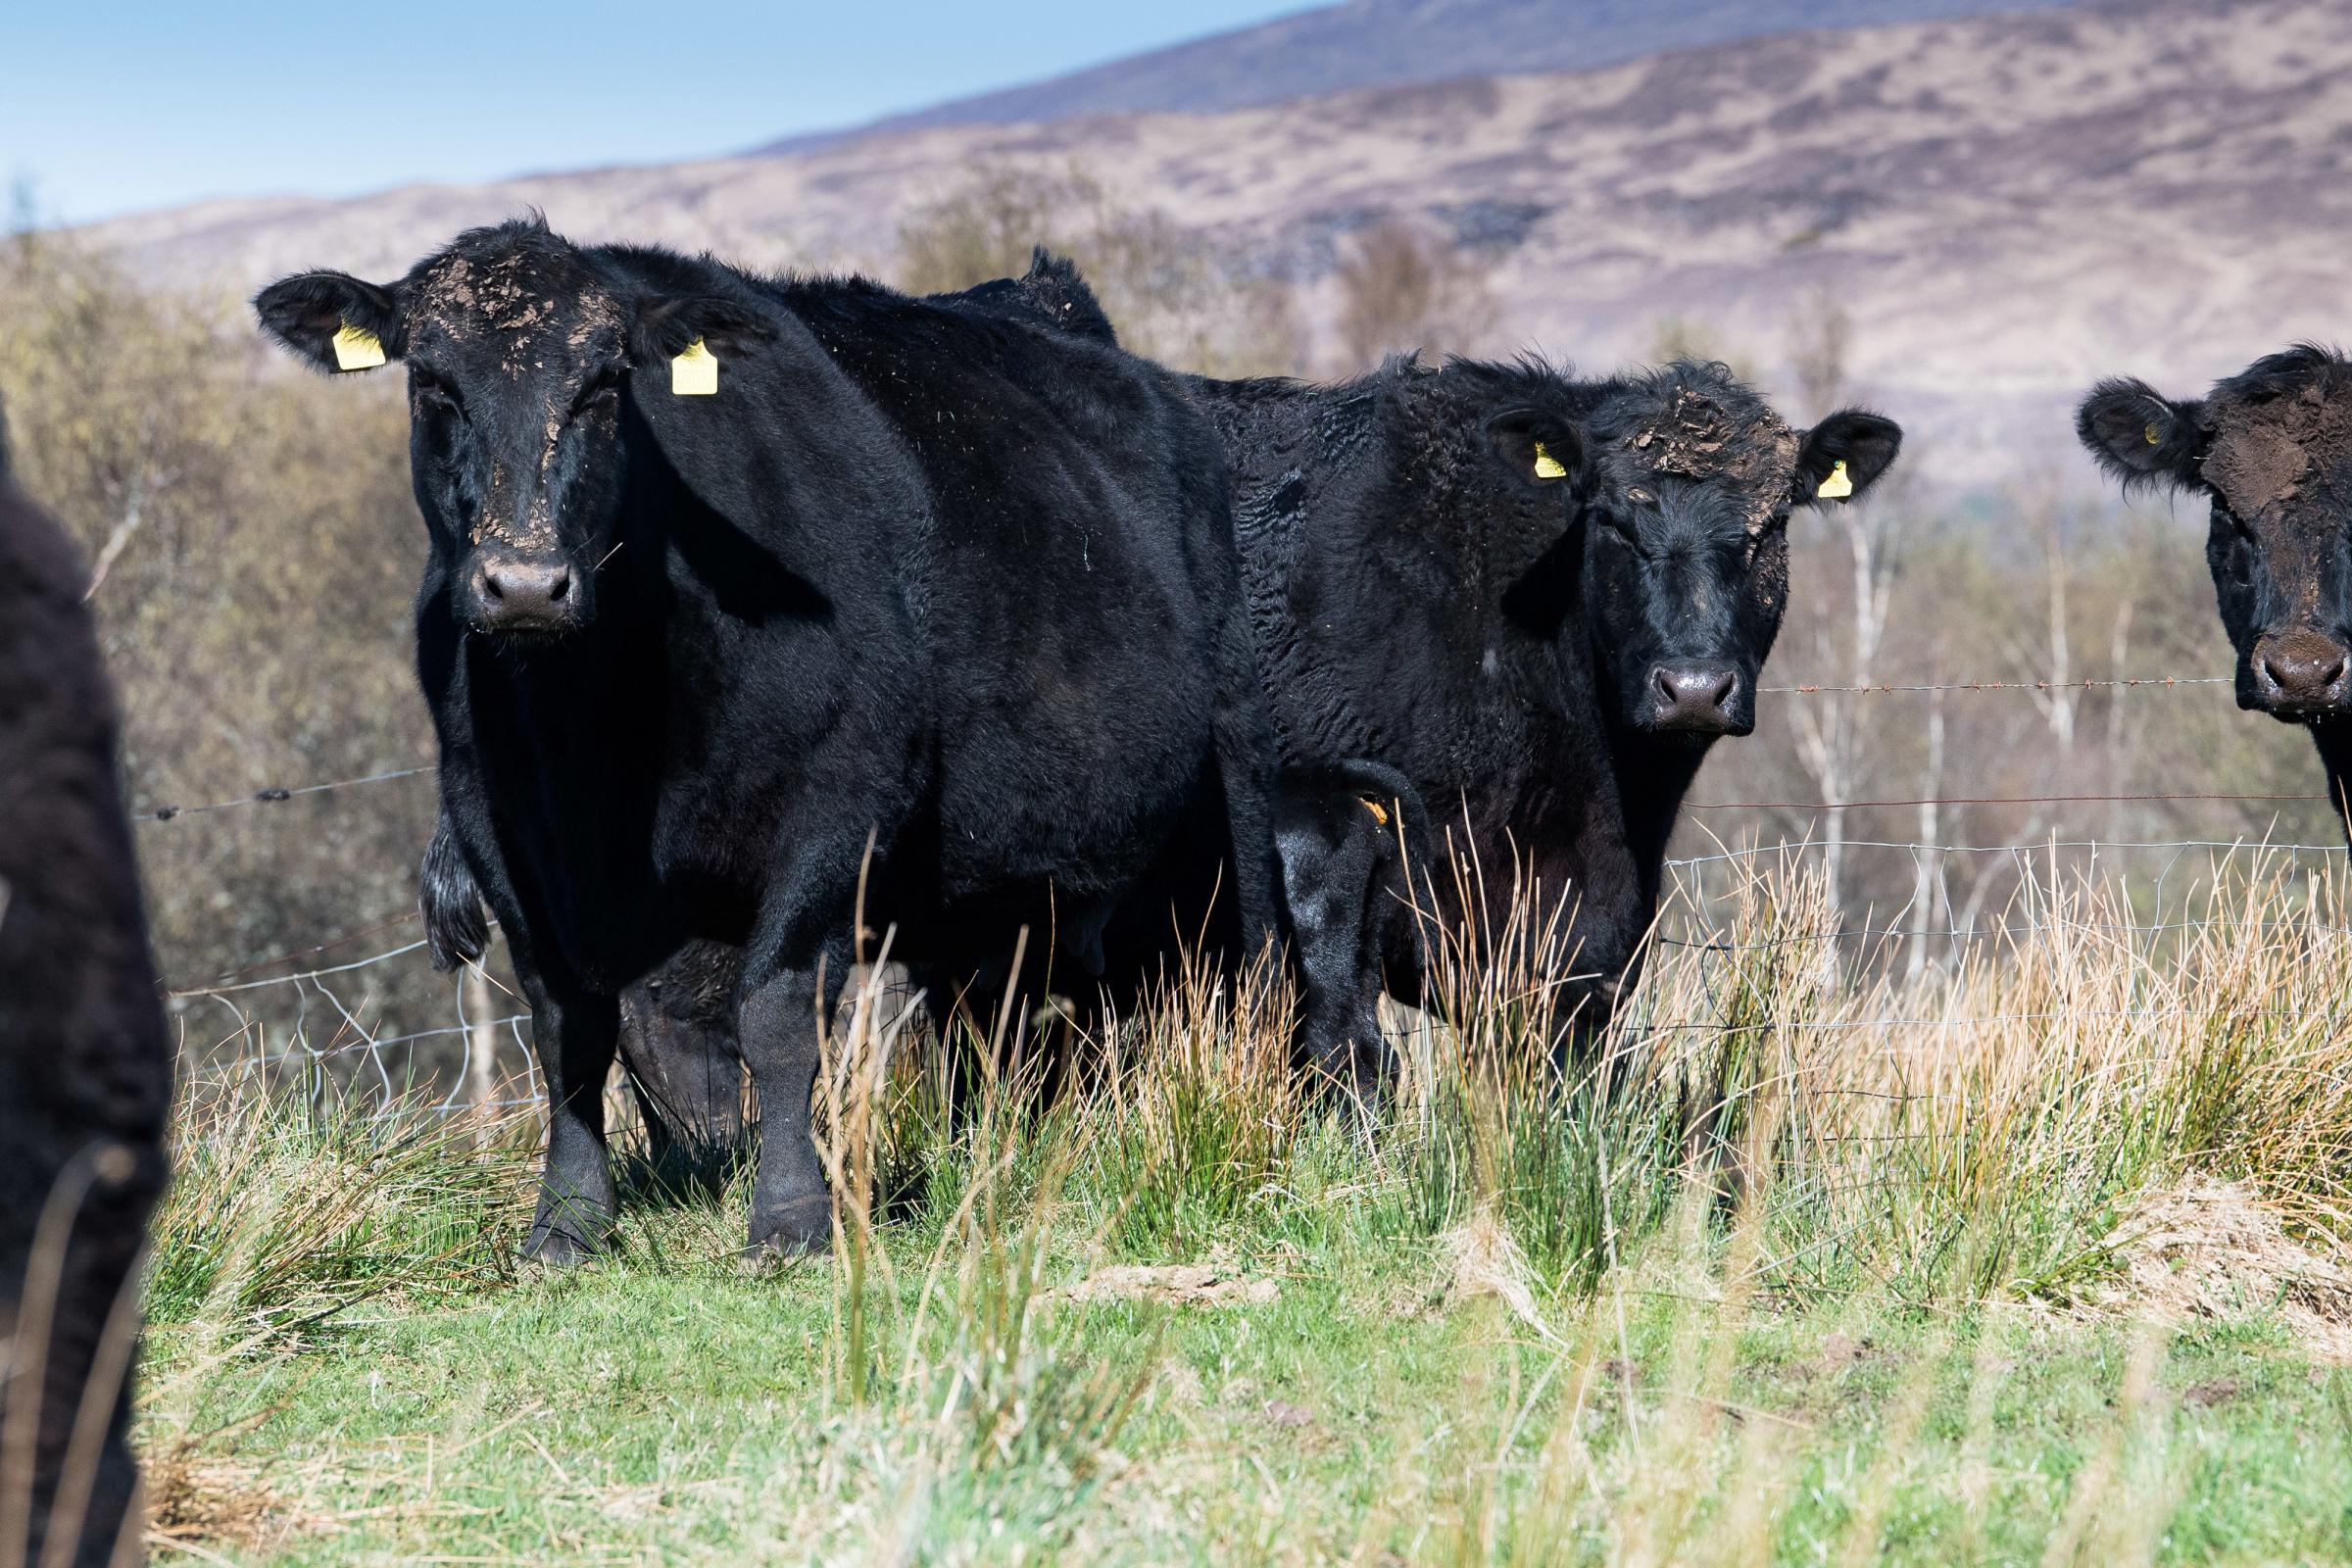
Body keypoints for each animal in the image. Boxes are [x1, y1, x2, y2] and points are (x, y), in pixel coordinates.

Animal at [260, 217, 1298, 1259]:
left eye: (603, 384)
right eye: (434, 382)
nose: (523, 586)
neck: (595, 734)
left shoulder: (838, 806)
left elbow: (777, 1014)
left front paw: (794, 1218)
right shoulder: (497, 830)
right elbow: (570, 1029)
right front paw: (567, 1224)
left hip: (1230, 806)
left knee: (1254, 974)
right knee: (1000, 1021)